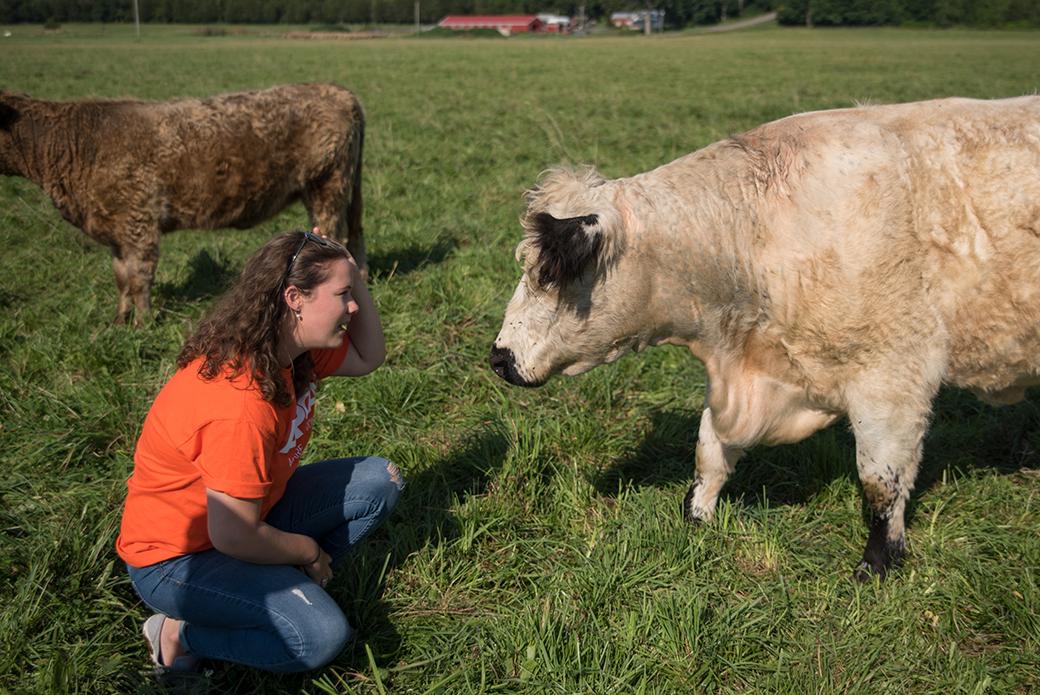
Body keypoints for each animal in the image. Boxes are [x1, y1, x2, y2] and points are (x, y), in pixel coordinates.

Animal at [0, 82, 368, 326]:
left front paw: (142, 325)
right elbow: (121, 278)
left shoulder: (139, 222)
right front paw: (119, 322)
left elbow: (139, 277)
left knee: (338, 236)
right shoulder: (117, 228)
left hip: (327, 186)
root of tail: (336, 90)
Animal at [490, 93, 1040, 582]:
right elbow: (710, 450)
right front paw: (696, 517)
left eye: (550, 274)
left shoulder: (893, 378)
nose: (499, 358)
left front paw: (877, 564)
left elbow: (880, 482)